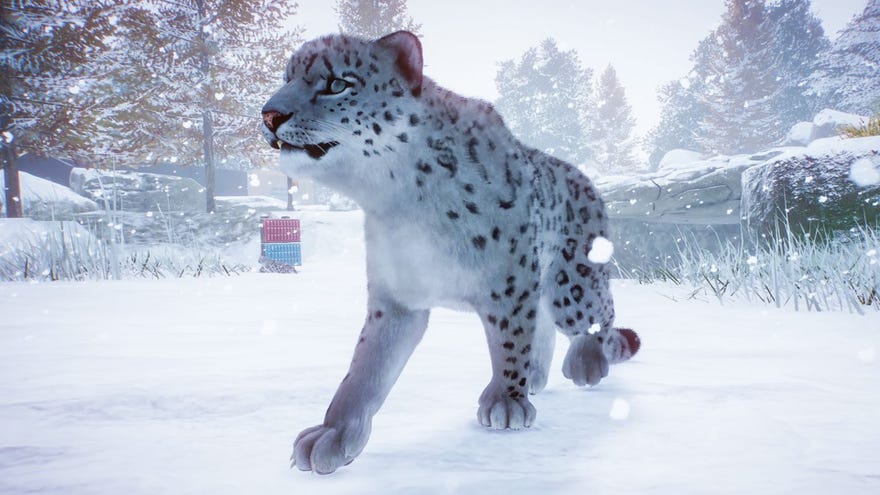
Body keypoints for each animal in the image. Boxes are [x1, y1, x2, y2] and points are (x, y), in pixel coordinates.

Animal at [261, 31, 641, 475]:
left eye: (337, 83)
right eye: (286, 78)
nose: (269, 115)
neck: (395, 199)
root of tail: (590, 183)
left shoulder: (508, 283)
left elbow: (509, 340)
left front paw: (506, 401)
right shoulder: (395, 299)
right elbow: (365, 369)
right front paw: (333, 435)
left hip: (571, 284)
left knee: (594, 314)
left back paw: (583, 364)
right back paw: (536, 375)